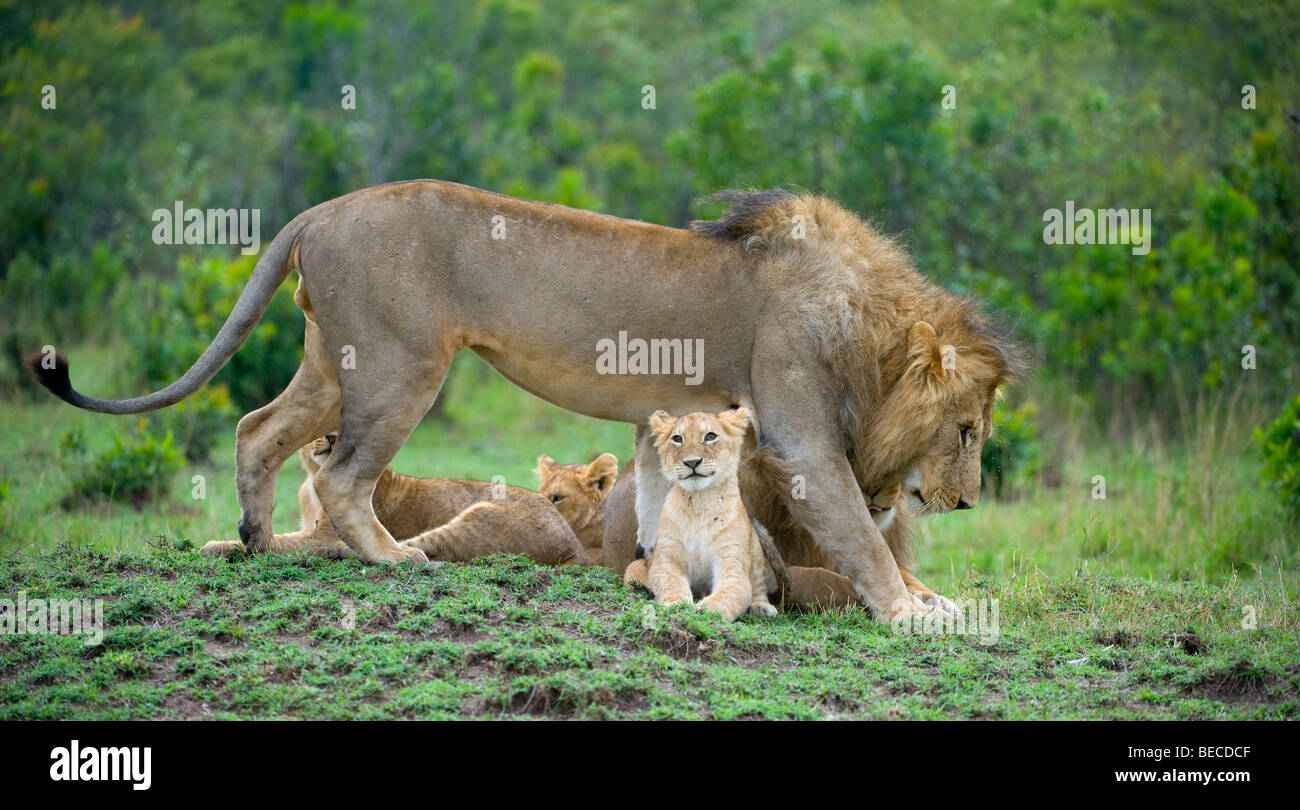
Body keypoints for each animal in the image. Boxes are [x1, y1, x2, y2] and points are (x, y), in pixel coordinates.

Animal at [27, 183, 1013, 624]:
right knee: (342, 475)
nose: (968, 503)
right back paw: (390, 561)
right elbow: (859, 536)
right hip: (398, 367)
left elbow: (660, 506)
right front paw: (916, 614)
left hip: (330, 363)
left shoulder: (674, 426)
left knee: (255, 428)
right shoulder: (802, 440)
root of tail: (319, 210)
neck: (867, 330)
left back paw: (258, 541)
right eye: (967, 430)